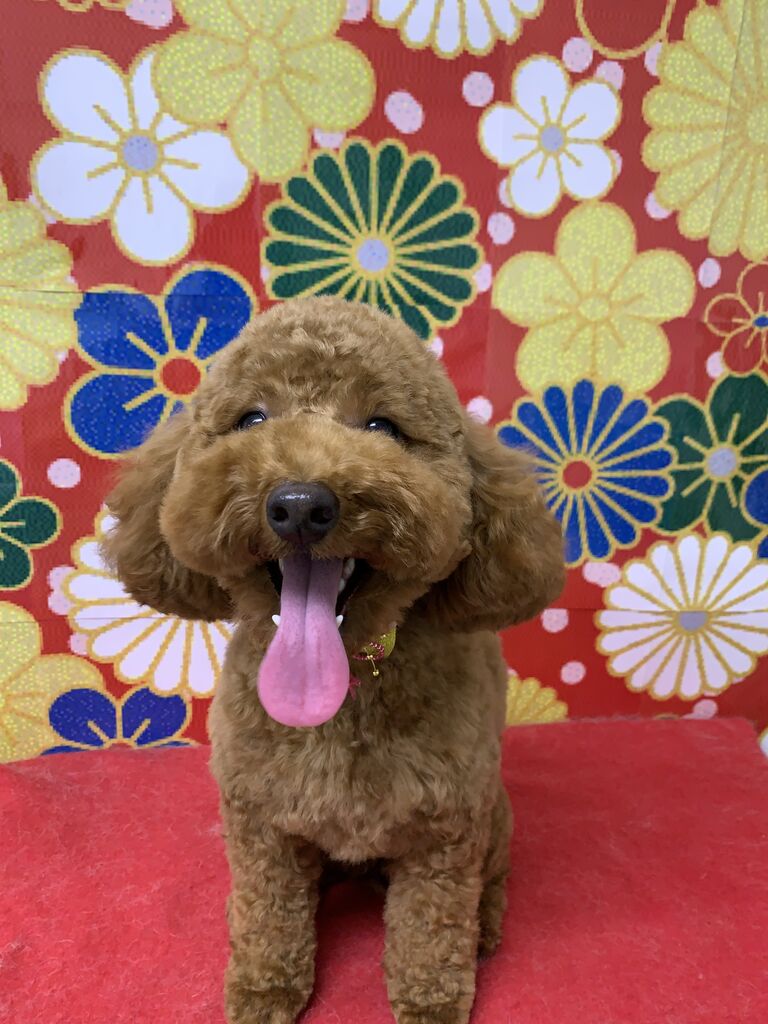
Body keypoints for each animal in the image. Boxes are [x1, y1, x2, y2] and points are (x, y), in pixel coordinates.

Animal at [103, 296, 565, 1024]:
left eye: (383, 426)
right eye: (252, 419)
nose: (300, 504)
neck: (341, 695)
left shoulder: (446, 833)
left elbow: (430, 933)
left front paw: (432, 1005)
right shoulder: (259, 824)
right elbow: (269, 915)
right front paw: (264, 990)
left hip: (493, 818)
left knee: (489, 882)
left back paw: (486, 927)